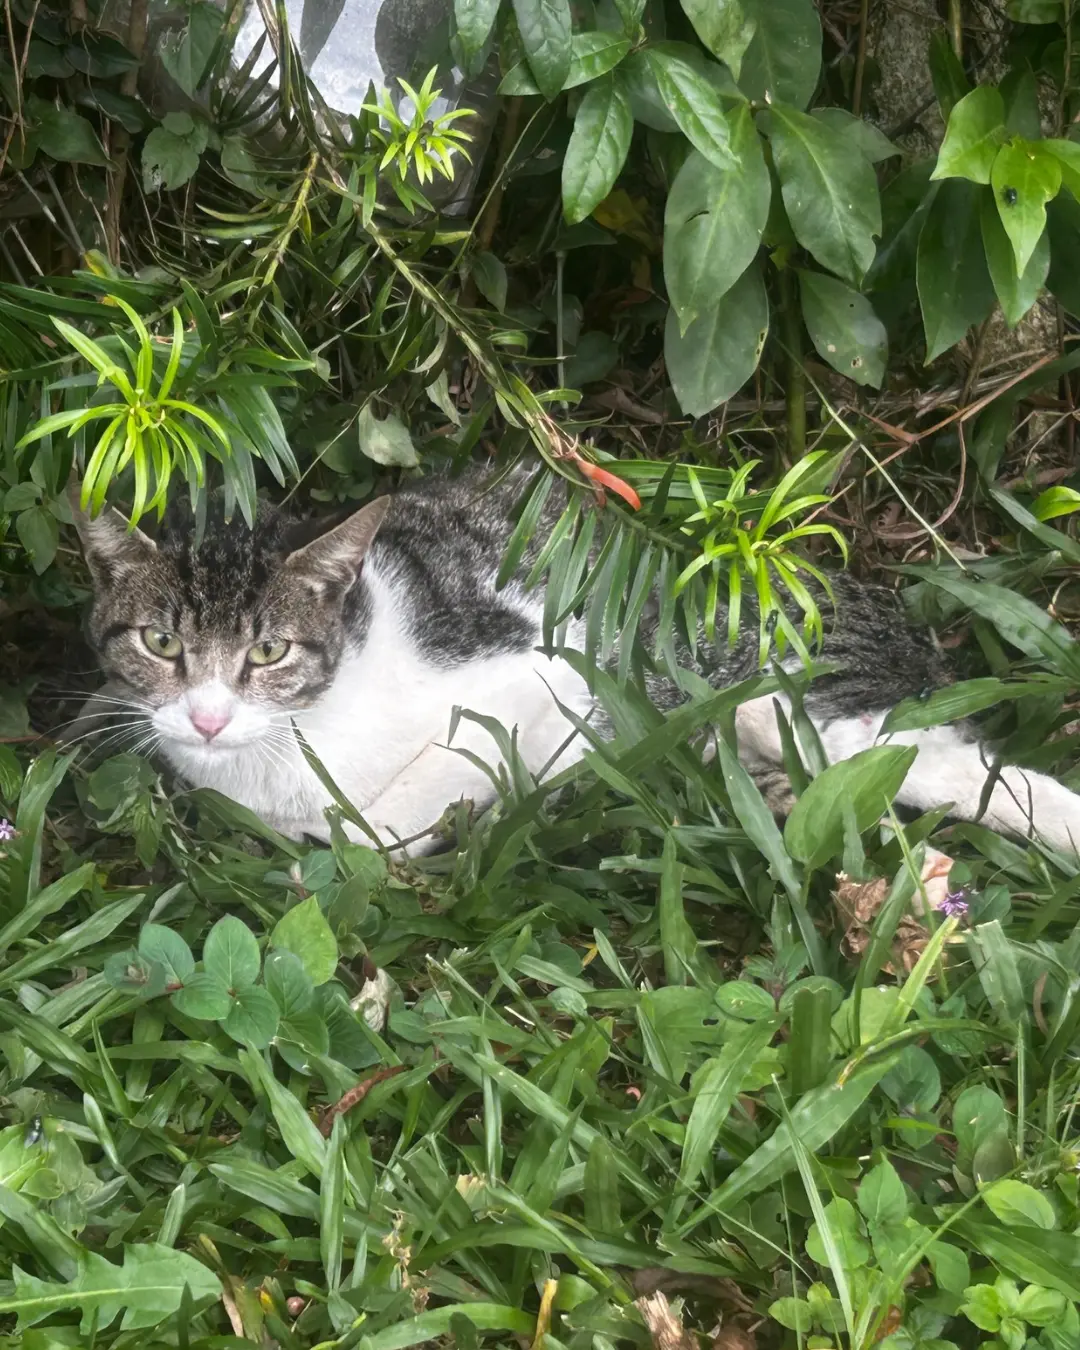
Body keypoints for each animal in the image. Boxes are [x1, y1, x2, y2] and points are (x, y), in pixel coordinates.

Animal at [73, 469, 1080, 858]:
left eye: (268, 650)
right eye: (161, 644)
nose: (207, 717)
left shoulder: (551, 667)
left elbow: (370, 825)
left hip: (789, 691)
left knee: (965, 769)